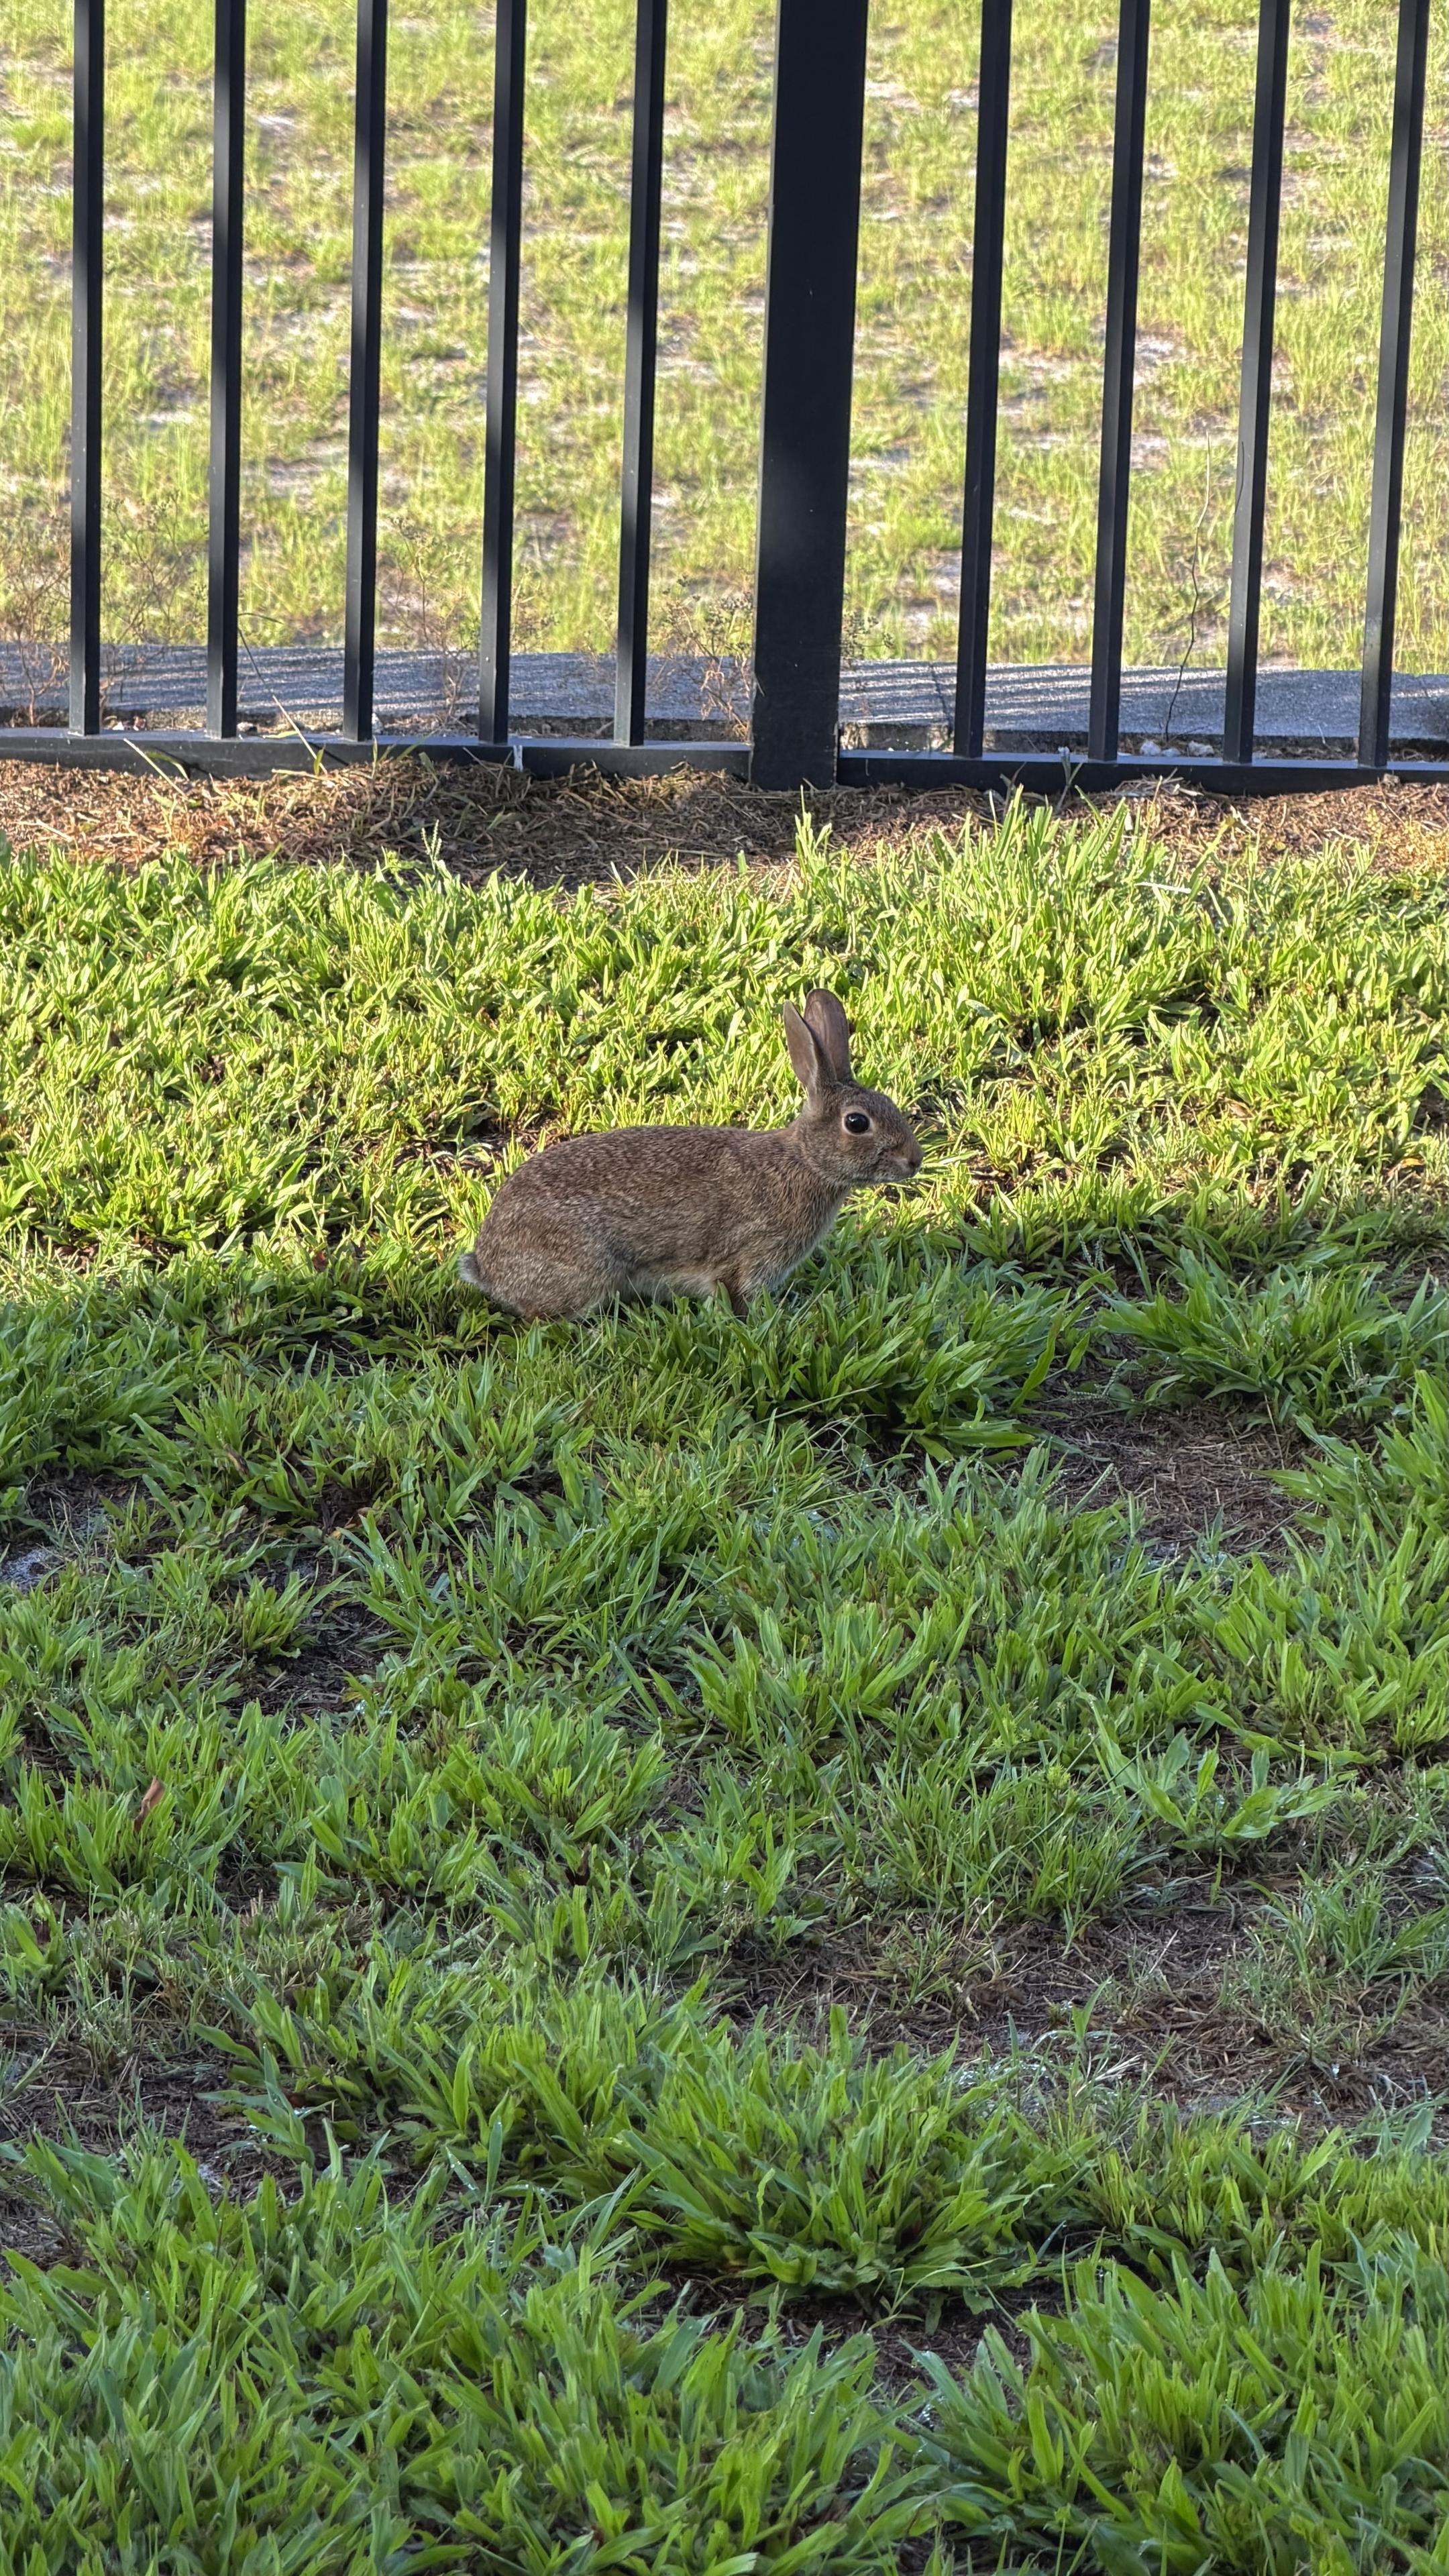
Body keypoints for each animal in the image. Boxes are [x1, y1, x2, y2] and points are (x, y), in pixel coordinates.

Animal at [459, 988, 922, 1322]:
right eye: (857, 1123)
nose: (914, 1160)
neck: (806, 1162)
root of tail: (487, 1267)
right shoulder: (749, 1258)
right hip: (588, 1271)